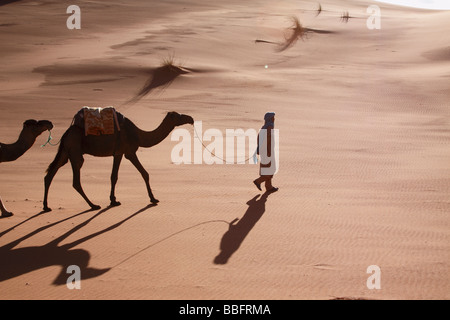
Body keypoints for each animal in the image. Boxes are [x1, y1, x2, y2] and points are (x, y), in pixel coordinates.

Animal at [42, 111, 195, 211]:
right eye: (177, 115)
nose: (191, 118)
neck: (139, 135)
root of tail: (66, 133)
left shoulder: (120, 153)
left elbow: (116, 176)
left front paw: (114, 200)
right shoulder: (127, 152)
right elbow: (142, 173)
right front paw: (153, 199)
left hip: (65, 152)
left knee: (50, 174)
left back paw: (46, 206)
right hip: (75, 150)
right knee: (75, 181)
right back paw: (93, 205)